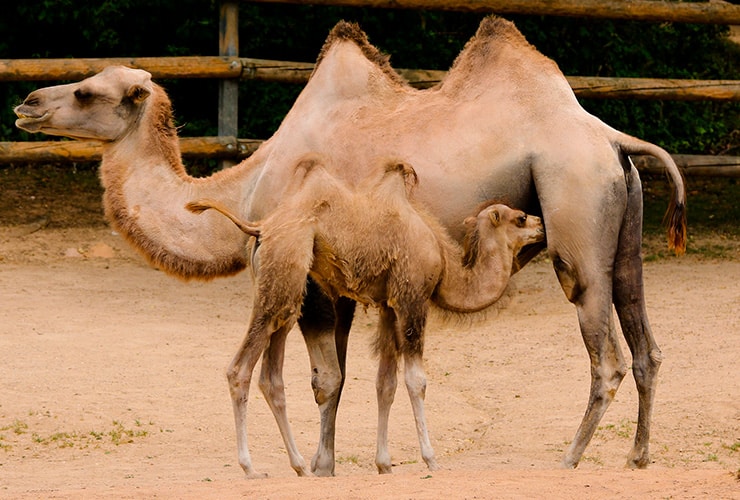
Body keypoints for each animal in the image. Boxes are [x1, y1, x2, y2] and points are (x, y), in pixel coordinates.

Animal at [185, 156, 544, 476]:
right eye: (520, 218)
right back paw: (250, 467)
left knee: (271, 376)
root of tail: (261, 227)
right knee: (239, 369)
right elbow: (416, 380)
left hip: (285, 291)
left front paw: (384, 463)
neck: (443, 264)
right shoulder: (412, 299)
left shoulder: (388, 306)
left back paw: (300, 466)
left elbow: (385, 382)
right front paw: (430, 459)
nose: (541, 225)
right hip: (284, 275)